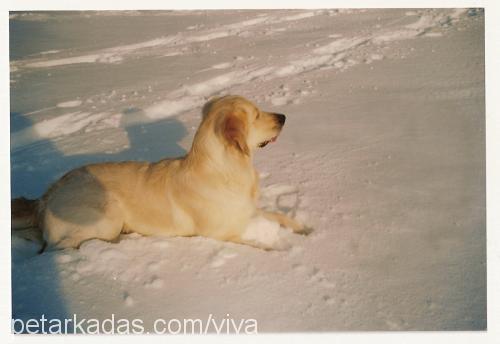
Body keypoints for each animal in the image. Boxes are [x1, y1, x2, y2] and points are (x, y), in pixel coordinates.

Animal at [11, 95, 308, 251]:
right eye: (256, 115)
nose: (283, 117)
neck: (226, 169)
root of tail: (44, 198)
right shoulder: (221, 234)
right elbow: (259, 246)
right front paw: (282, 250)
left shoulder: (247, 210)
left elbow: (280, 215)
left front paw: (304, 229)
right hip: (107, 215)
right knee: (62, 245)